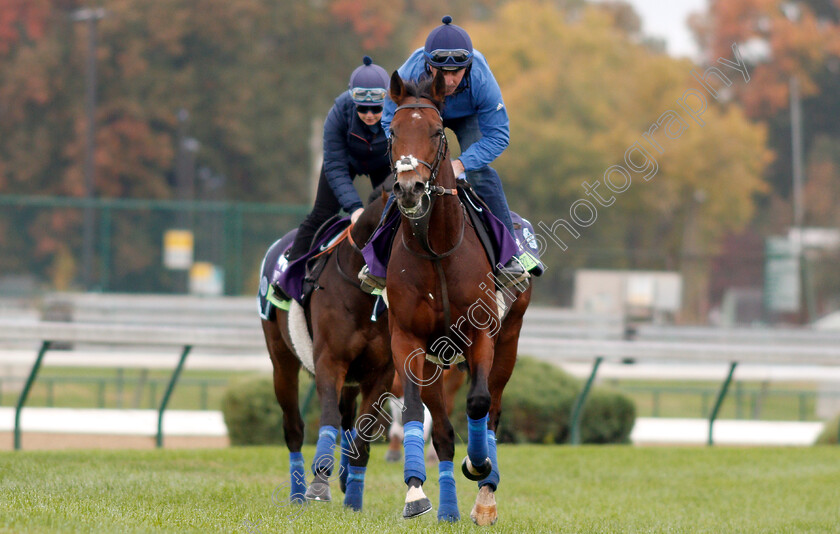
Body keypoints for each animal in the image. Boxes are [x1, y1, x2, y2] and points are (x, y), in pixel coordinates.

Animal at [260, 188, 396, 510]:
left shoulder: (382, 372)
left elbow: (364, 430)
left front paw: (354, 492)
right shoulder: (330, 361)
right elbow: (329, 418)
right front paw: (320, 480)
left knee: (349, 420)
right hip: (282, 362)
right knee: (294, 427)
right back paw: (298, 493)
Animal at [386, 71, 532, 528]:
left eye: (436, 131)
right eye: (392, 131)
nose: (410, 188)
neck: (437, 249)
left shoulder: (482, 335)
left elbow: (480, 402)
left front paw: (479, 466)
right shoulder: (408, 339)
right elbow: (416, 411)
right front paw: (415, 492)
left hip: (509, 342)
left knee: (493, 410)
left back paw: (485, 495)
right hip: (439, 359)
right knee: (444, 432)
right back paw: (448, 505)